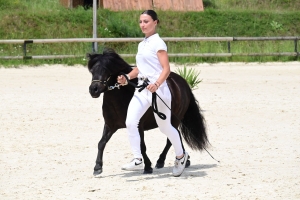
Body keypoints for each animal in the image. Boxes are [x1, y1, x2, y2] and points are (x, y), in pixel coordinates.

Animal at [86, 47, 209, 176]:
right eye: (92, 70)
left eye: (107, 70)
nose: (93, 90)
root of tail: (182, 83)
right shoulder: (110, 125)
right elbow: (101, 143)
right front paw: (97, 167)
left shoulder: (138, 126)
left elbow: (142, 146)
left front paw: (148, 166)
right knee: (176, 136)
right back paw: (185, 160)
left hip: (174, 120)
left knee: (171, 139)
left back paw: (162, 161)